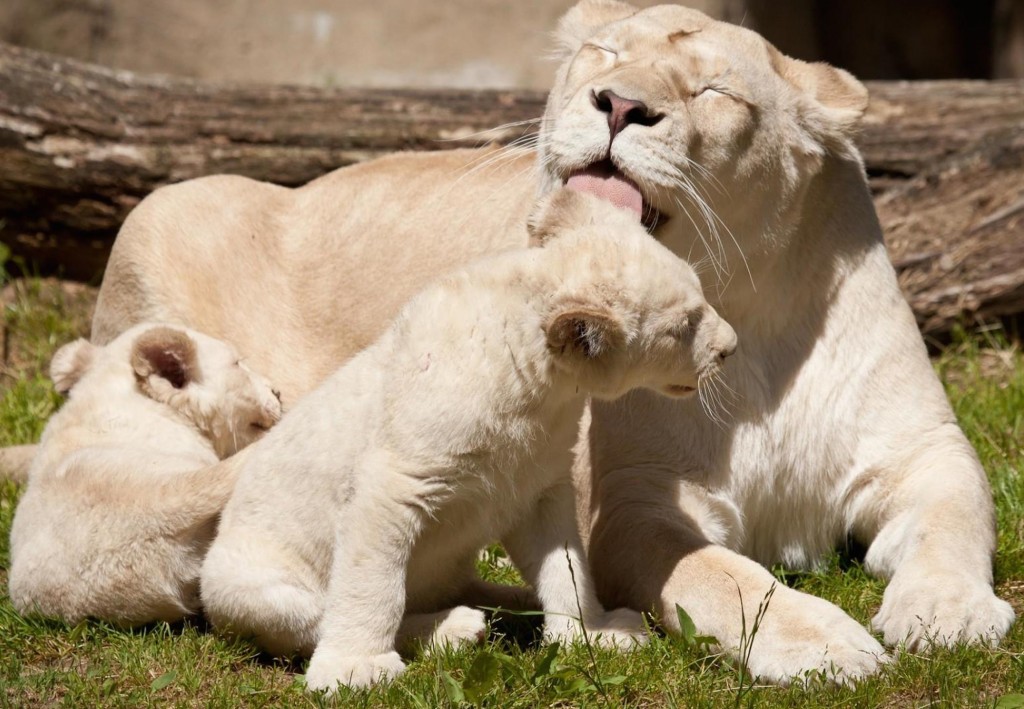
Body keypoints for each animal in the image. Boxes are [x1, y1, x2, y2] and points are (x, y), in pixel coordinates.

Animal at [200, 190, 738, 691]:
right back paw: (454, 630)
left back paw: (512, 606)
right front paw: (354, 668)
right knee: (318, 617)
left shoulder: (538, 487)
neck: (539, 394)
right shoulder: (391, 485)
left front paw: (592, 631)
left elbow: (567, 567)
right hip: (249, 586)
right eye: (684, 327)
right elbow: (372, 586)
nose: (730, 348)